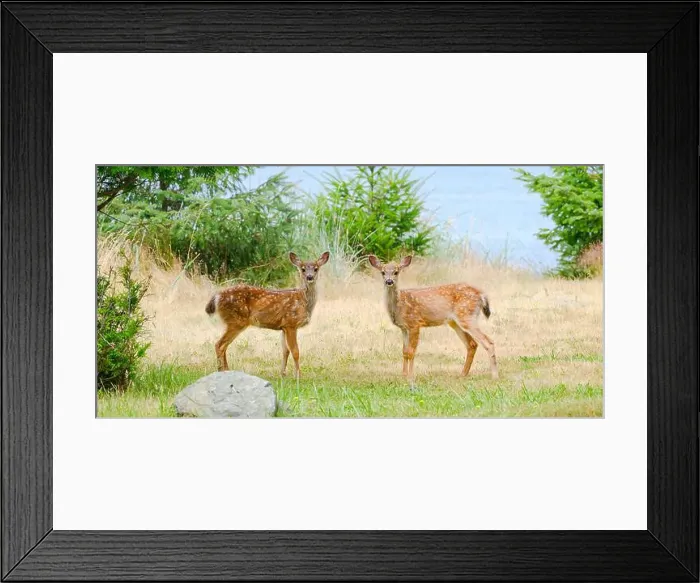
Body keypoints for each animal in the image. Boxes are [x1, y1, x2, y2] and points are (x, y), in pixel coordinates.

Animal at [368, 255, 498, 382]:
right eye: (383, 272)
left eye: (396, 272)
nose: (389, 281)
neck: (400, 305)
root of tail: (482, 295)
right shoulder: (404, 328)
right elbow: (404, 351)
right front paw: (403, 375)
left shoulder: (415, 323)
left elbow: (411, 352)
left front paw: (411, 377)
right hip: (455, 322)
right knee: (472, 344)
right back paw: (462, 374)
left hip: (466, 316)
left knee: (488, 342)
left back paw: (494, 376)